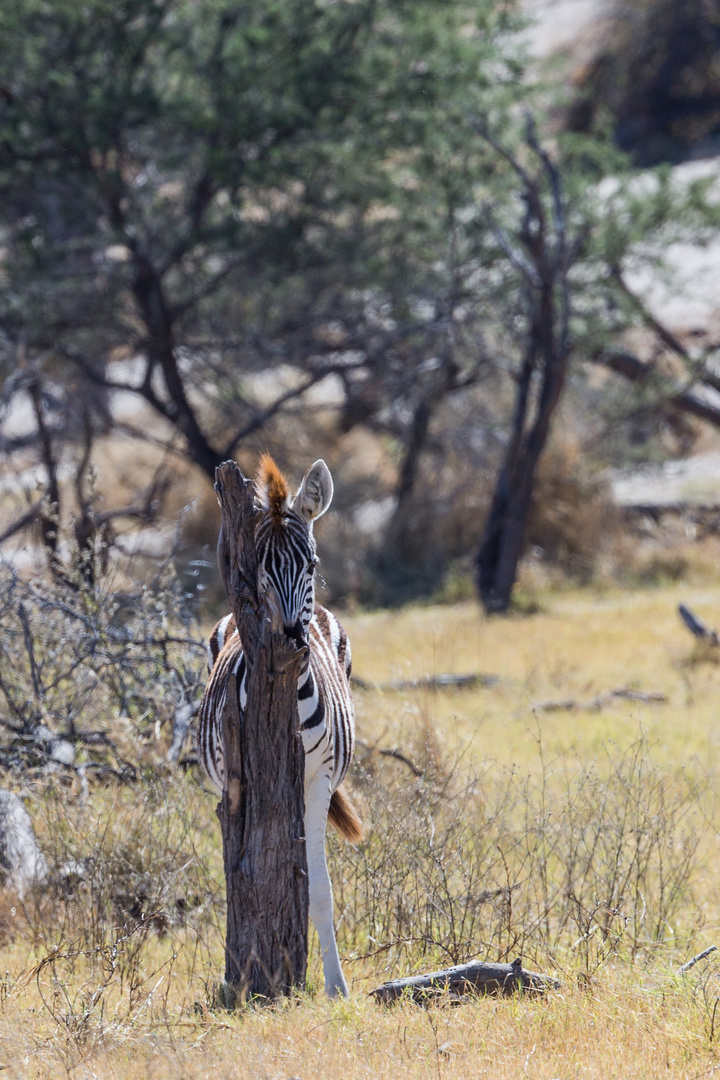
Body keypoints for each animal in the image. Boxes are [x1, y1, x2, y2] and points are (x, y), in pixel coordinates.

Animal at [198, 453, 360, 993]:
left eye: (310, 564)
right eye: (258, 569)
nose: (291, 637)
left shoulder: (319, 777)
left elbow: (318, 887)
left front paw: (335, 986)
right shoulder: (244, 778)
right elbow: (246, 871)